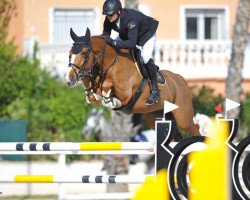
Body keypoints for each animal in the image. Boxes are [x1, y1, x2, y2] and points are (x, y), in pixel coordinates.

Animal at [65, 27, 200, 136]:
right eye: (70, 53)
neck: (112, 63)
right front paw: (101, 96)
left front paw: (111, 101)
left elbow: (108, 86)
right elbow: (94, 95)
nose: (68, 79)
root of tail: (180, 79)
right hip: (155, 116)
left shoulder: (126, 93)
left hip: (183, 117)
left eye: (84, 52)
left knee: (195, 128)